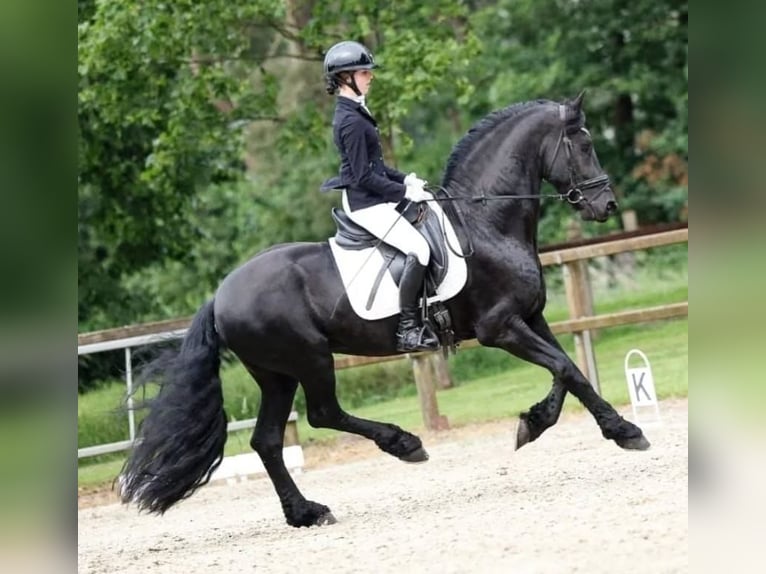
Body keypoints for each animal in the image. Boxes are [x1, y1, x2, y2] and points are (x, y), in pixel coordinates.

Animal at [123, 94, 652, 532]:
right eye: (583, 144)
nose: (607, 204)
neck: (485, 223)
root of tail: (221, 294)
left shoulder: (530, 319)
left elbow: (568, 371)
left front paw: (539, 422)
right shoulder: (500, 328)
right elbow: (566, 368)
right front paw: (625, 431)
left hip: (276, 374)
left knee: (268, 441)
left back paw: (306, 512)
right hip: (309, 359)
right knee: (322, 414)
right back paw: (402, 444)